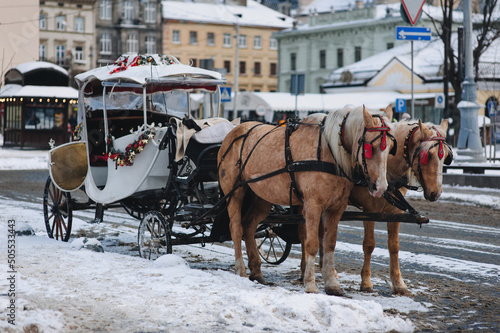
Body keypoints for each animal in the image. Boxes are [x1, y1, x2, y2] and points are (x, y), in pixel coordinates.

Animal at [217, 104, 396, 294]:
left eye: (391, 147)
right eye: (370, 147)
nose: (380, 187)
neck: (328, 151)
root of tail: (234, 131)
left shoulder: (336, 208)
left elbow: (329, 244)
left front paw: (332, 284)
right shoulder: (313, 206)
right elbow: (312, 244)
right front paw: (310, 284)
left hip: (261, 195)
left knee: (249, 227)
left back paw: (257, 272)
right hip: (234, 192)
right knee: (236, 228)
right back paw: (241, 269)